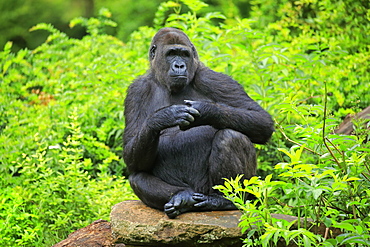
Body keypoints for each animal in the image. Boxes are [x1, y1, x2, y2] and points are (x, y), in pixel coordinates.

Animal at [123, 27, 274, 218]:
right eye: (171, 54)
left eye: (184, 54)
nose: (179, 66)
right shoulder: (136, 90)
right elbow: (131, 156)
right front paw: (164, 116)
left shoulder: (213, 78)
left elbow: (261, 120)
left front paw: (206, 110)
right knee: (137, 176)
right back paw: (183, 197)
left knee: (231, 137)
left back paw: (223, 201)